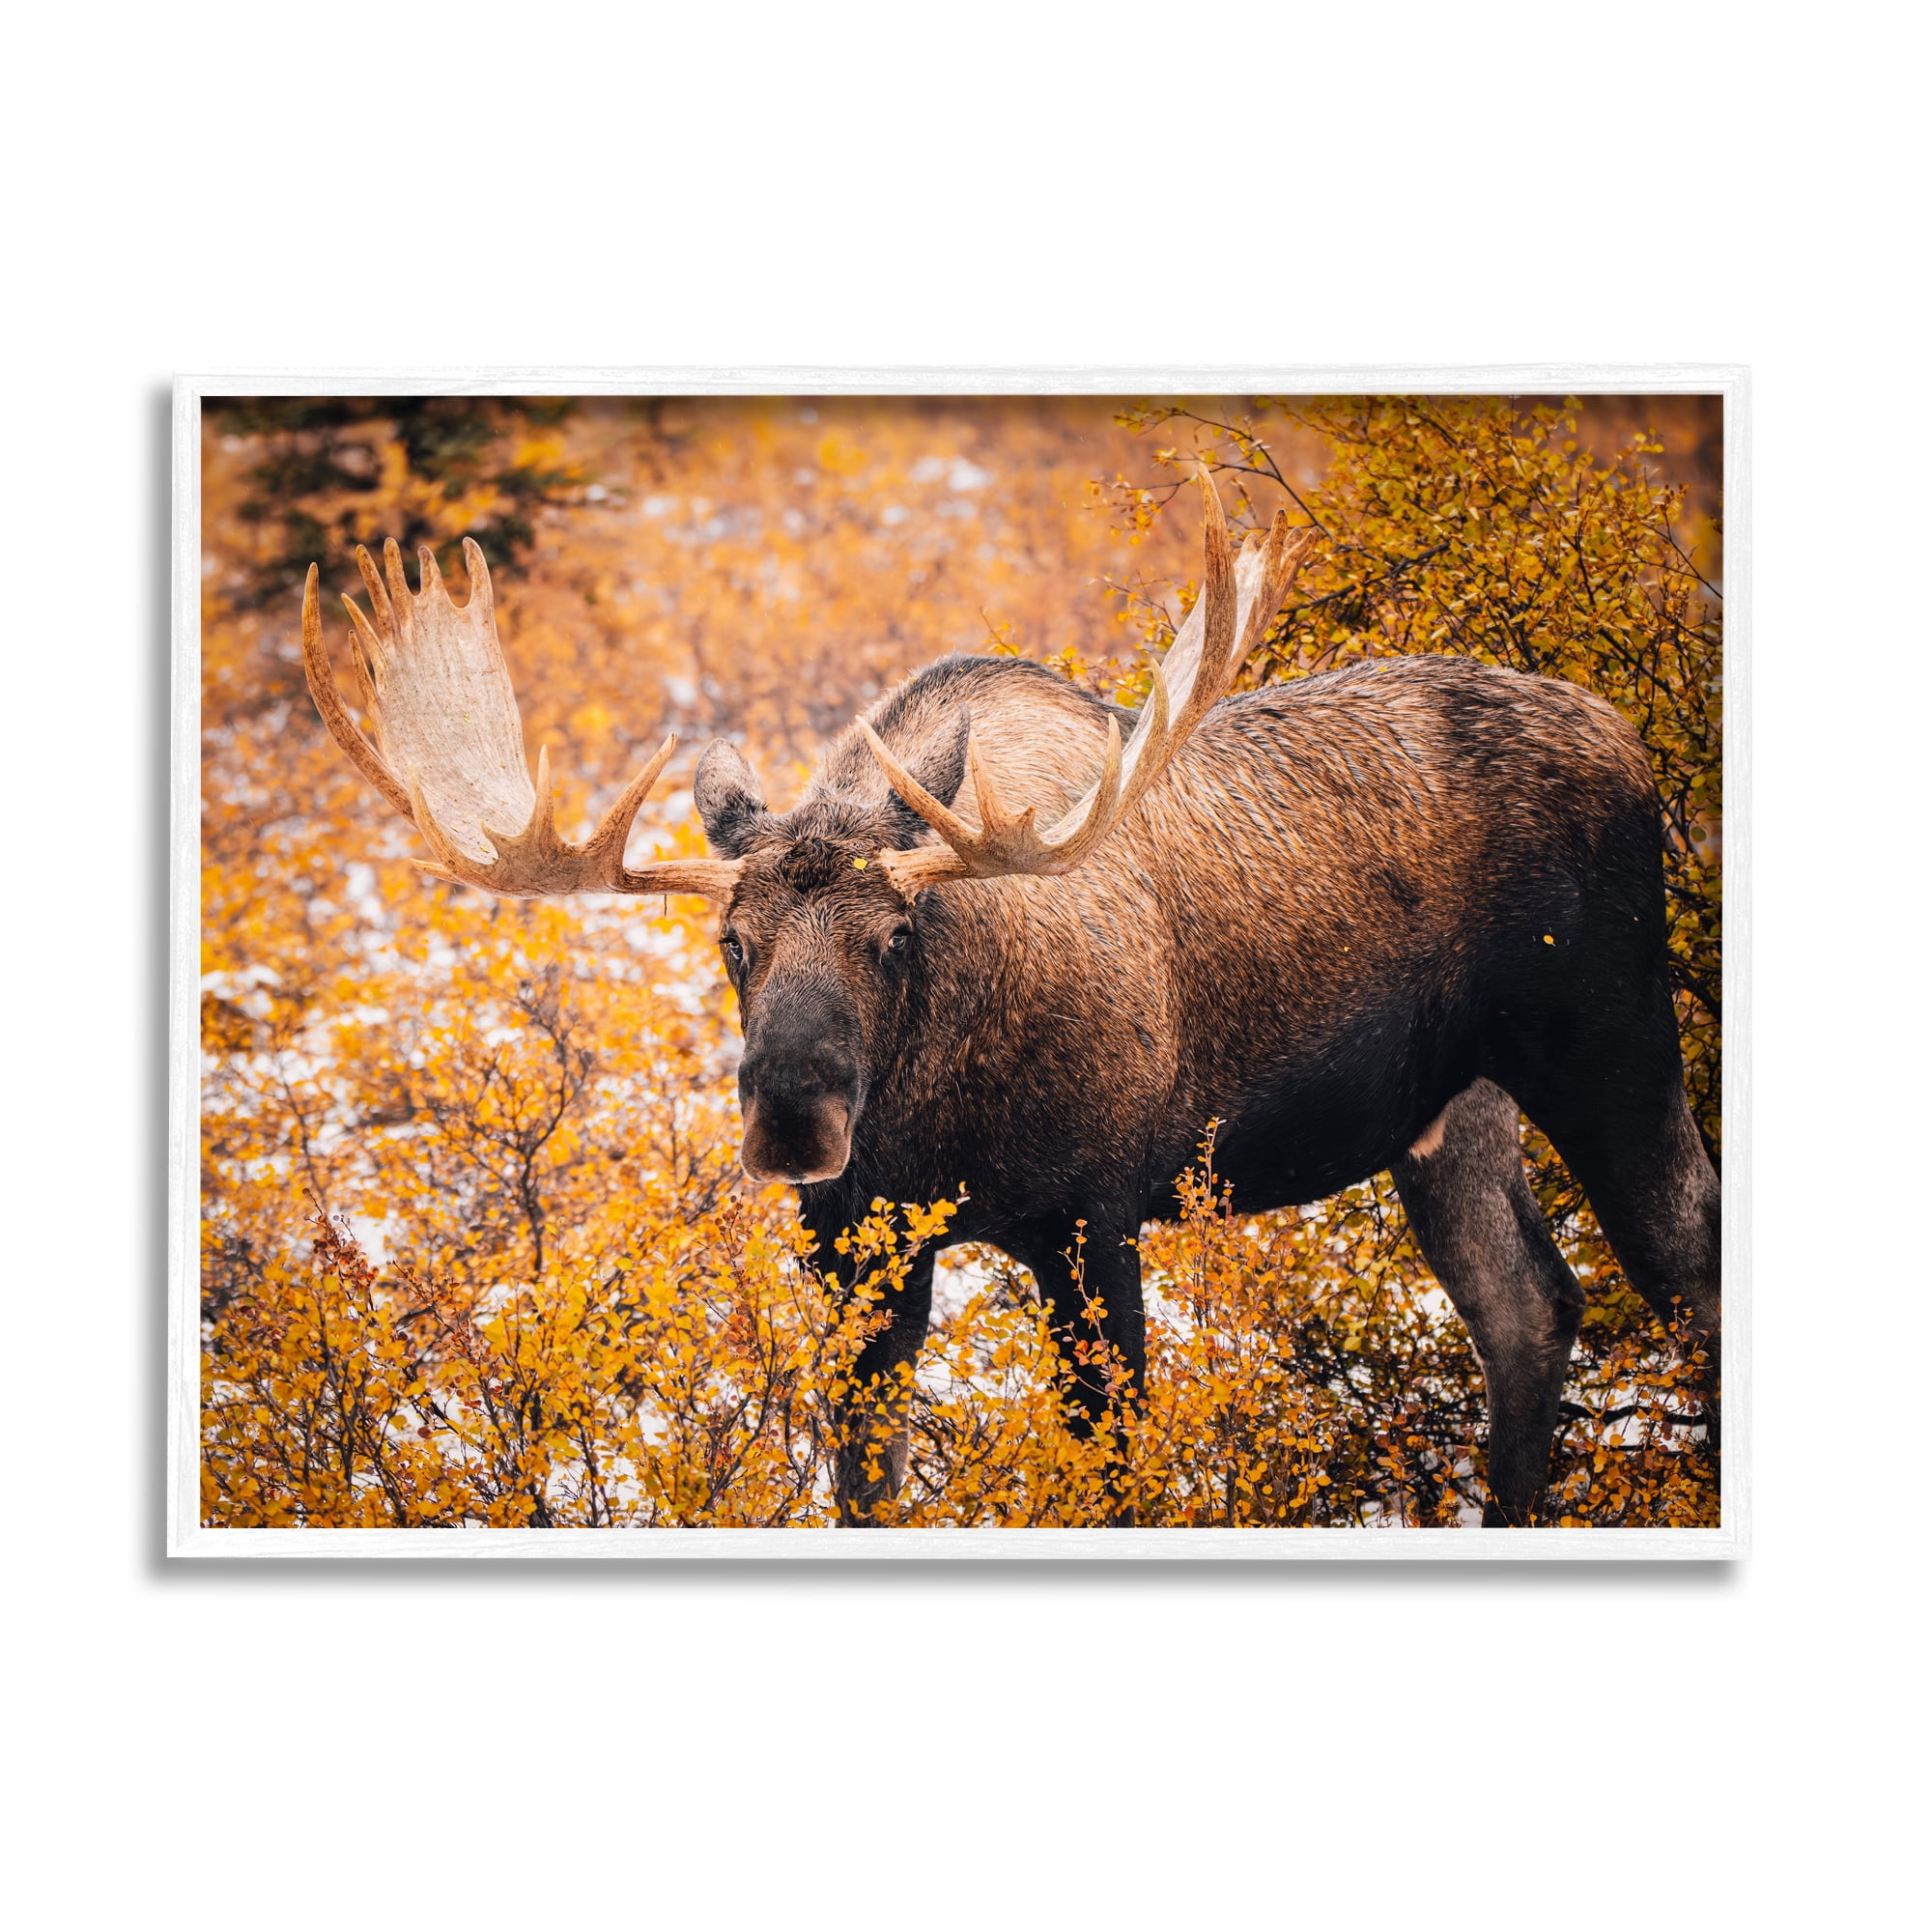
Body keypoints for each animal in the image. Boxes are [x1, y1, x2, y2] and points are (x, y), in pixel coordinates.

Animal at [300, 472, 1720, 1527]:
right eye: (732, 941)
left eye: (895, 934)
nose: (793, 1119)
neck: (933, 1126)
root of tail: (1629, 734)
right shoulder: (855, 1256)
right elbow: (864, 1485)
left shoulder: (1096, 1219)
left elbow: (1118, 1474)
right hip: (1448, 1110)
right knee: (1527, 1307)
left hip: (1608, 1031)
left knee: (1683, 1260)